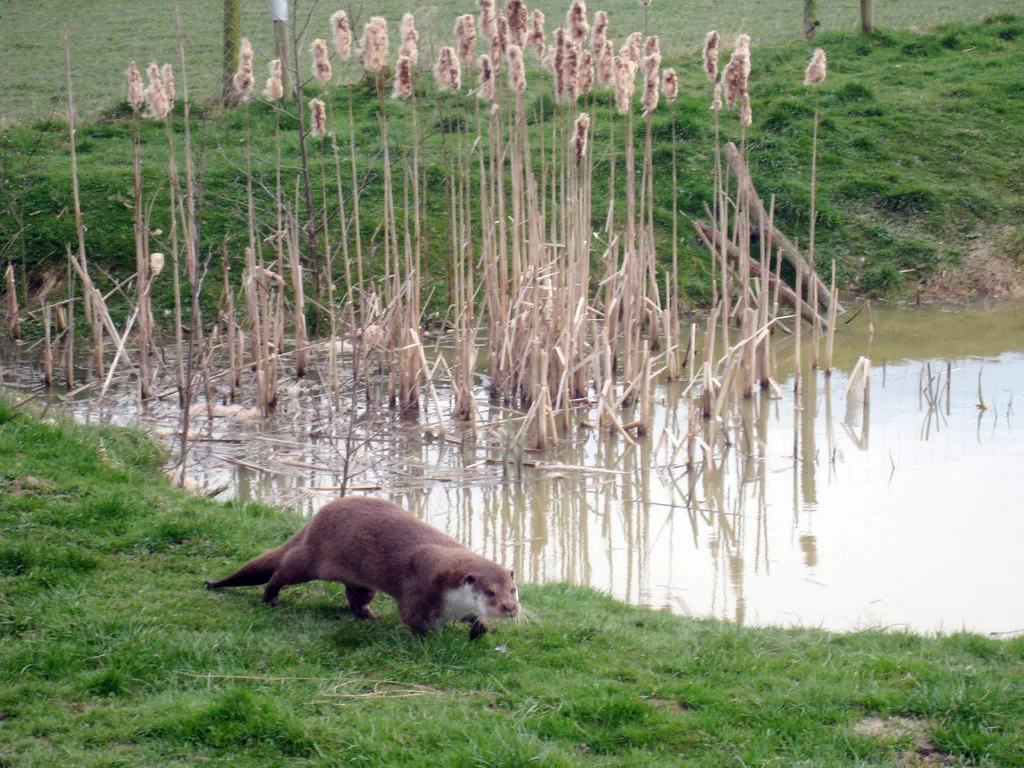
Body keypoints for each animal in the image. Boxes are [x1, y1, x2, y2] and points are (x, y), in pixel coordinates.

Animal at [206, 496, 520, 639]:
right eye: (490, 592)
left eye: (513, 590)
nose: (510, 608)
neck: (452, 599)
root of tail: (316, 517)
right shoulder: (419, 589)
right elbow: (414, 620)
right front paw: (437, 638)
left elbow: (475, 619)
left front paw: (479, 629)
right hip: (310, 560)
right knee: (281, 570)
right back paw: (270, 597)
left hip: (359, 579)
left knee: (356, 597)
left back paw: (368, 616)